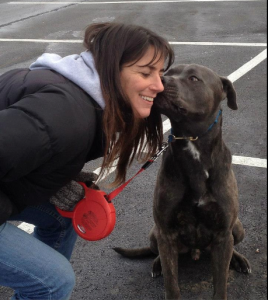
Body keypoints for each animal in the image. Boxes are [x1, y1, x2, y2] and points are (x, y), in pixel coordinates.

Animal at [113, 64, 251, 298]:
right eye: (167, 72)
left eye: (194, 78)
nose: (159, 80)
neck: (191, 141)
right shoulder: (166, 233)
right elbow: (172, 283)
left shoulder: (223, 234)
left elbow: (220, 283)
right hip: (155, 234)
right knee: (158, 253)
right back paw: (157, 264)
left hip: (237, 229)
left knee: (233, 246)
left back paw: (239, 260)